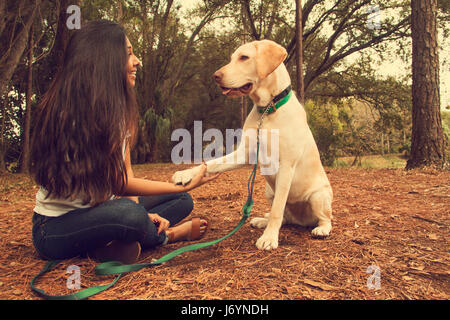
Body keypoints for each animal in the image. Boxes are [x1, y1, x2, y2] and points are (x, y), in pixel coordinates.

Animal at [174, 39, 332, 250]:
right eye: (232, 58)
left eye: (244, 57)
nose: (215, 76)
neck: (267, 109)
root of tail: (301, 221)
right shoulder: (244, 153)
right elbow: (212, 163)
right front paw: (186, 174)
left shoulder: (286, 165)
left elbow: (277, 210)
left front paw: (269, 238)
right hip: (269, 191)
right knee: (284, 217)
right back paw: (262, 221)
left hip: (317, 196)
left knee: (323, 218)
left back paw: (321, 229)